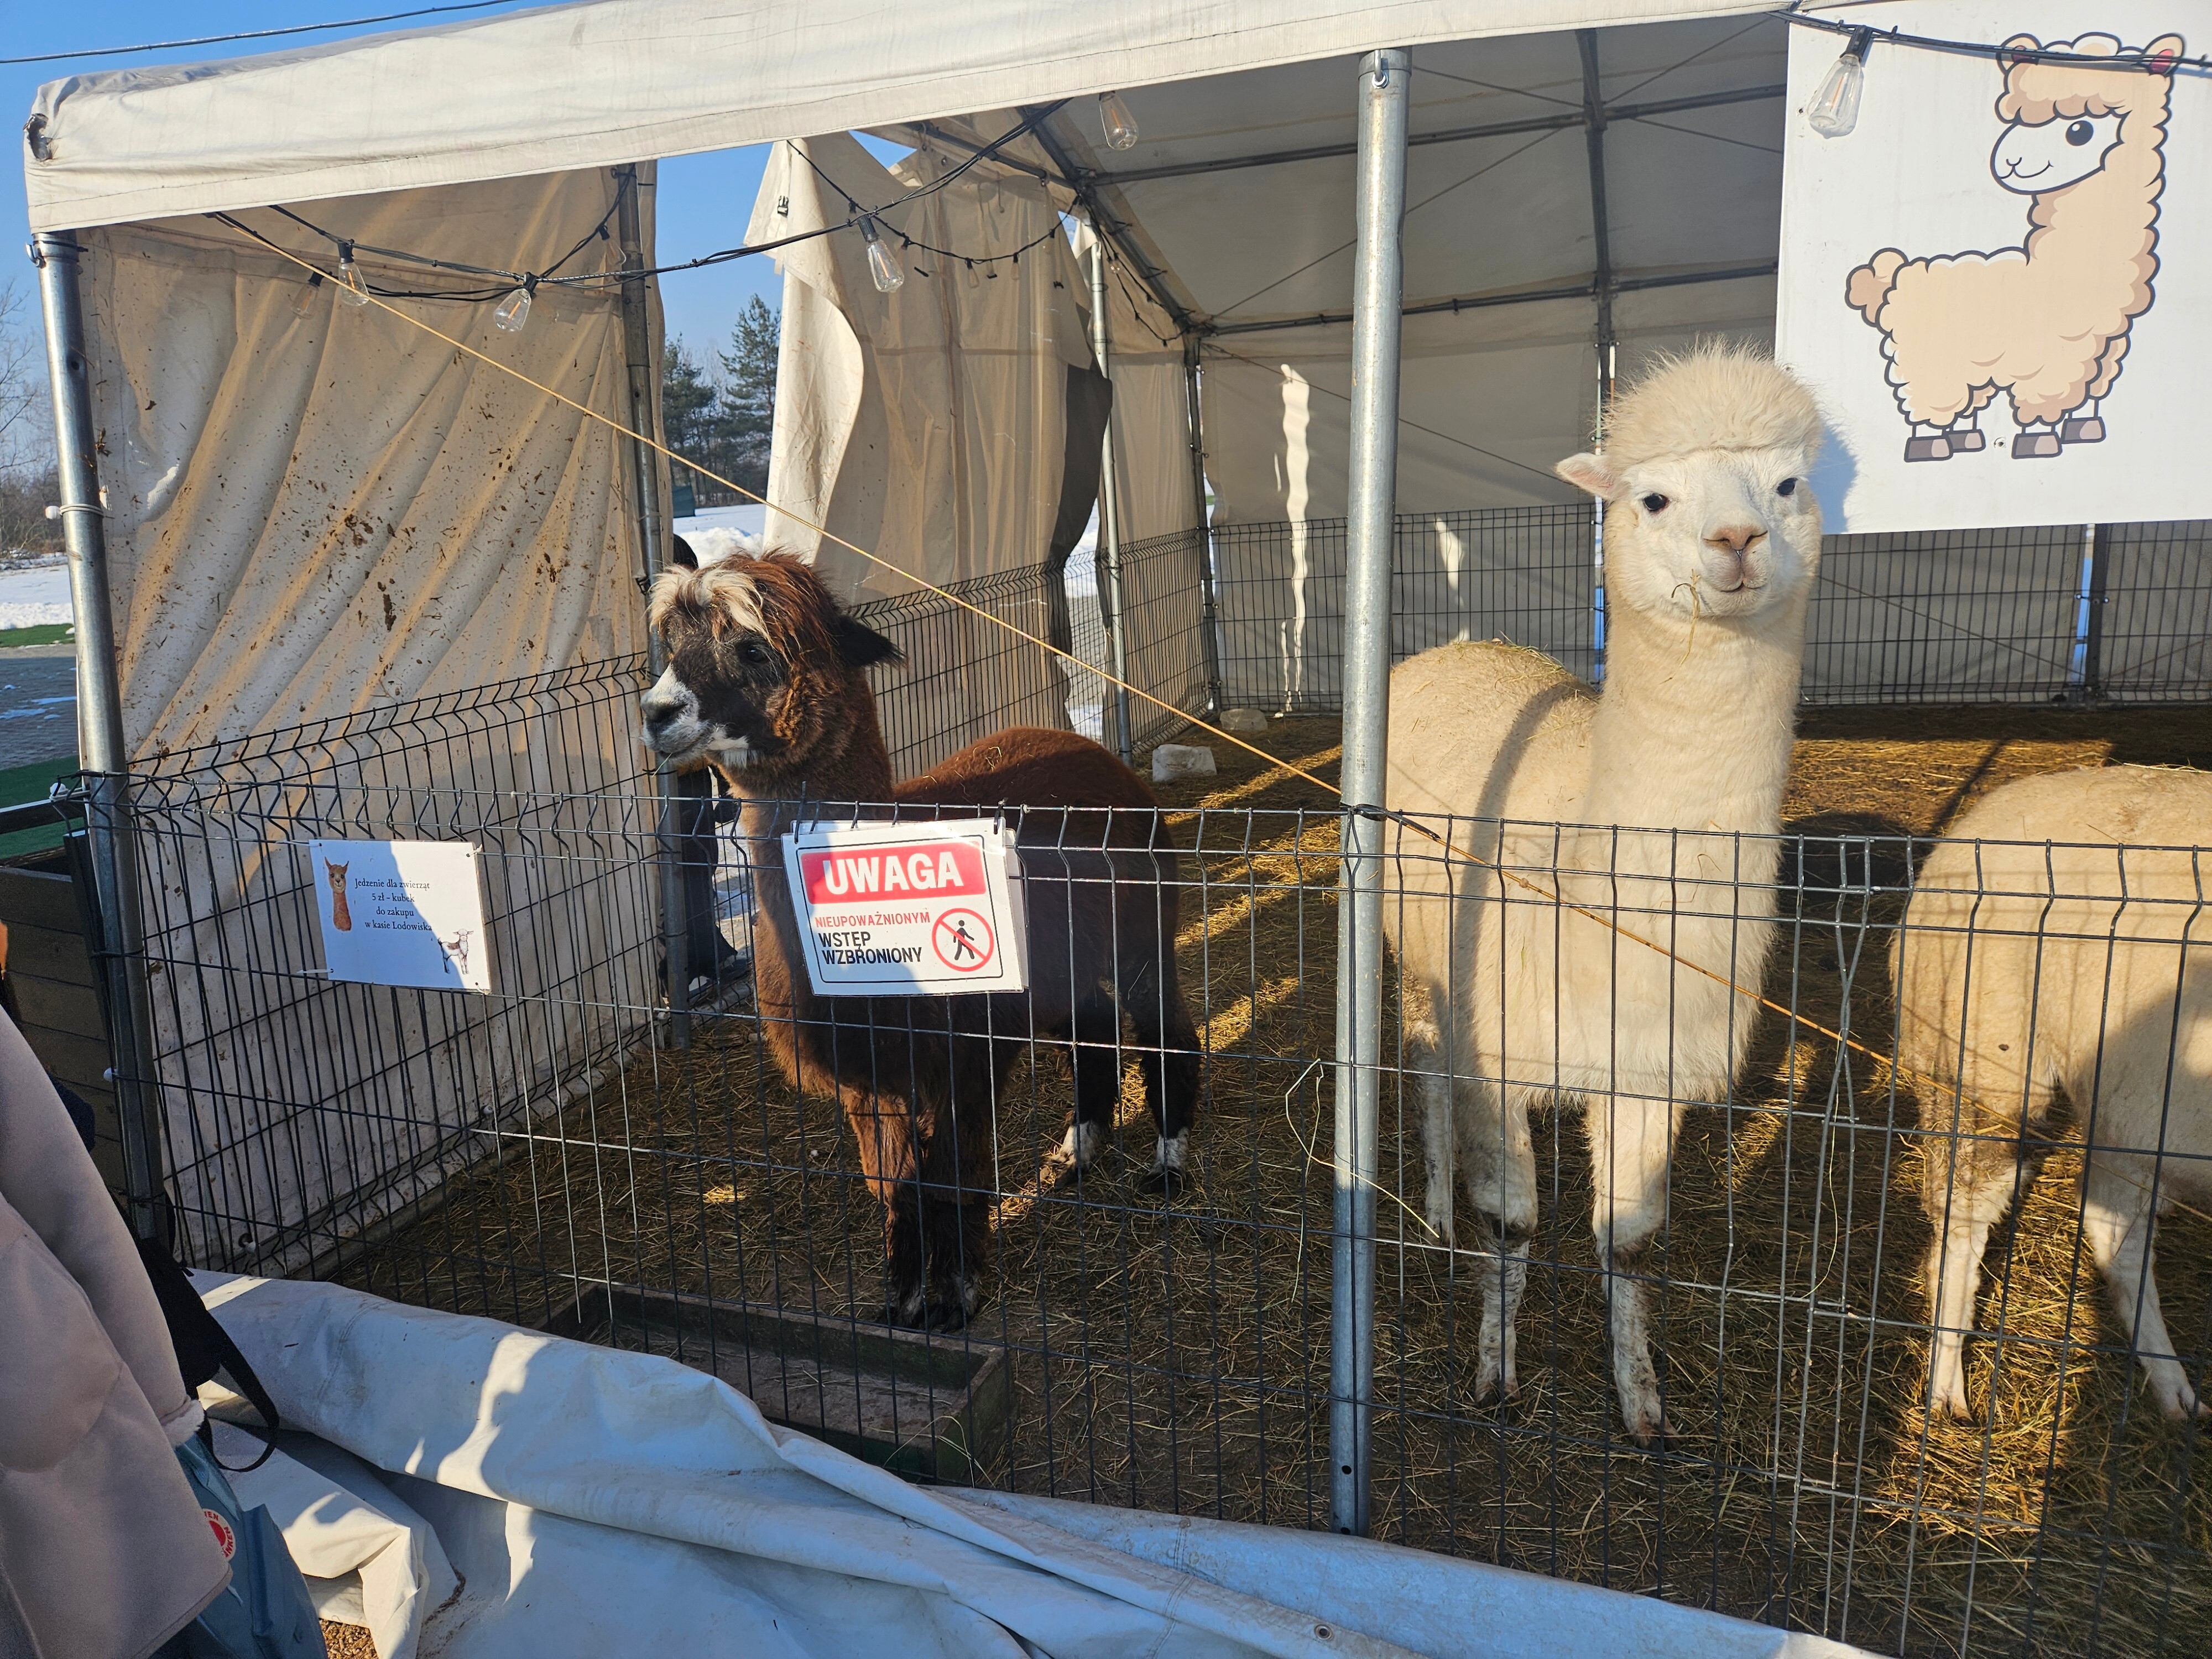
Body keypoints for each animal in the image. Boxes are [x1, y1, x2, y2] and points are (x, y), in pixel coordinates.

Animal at [639, 553, 1201, 1330]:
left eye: (752, 648)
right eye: (669, 643)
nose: (657, 712)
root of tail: (1088, 749)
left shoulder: (965, 1055)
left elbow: (953, 1179)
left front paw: (957, 1298)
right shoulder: (871, 1076)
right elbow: (893, 1186)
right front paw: (901, 1302)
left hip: (1144, 922)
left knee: (1164, 1031)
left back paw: (1168, 1165)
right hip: (1060, 963)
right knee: (1091, 1033)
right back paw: (1077, 1153)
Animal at [1382, 346, 1826, 1441]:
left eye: (1788, 485)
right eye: (1653, 497)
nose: (1737, 540)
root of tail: (1462, 644)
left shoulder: (1649, 1069)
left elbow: (1628, 1241)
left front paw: (1642, 1400)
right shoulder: (1501, 1045)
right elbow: (1512, 1226)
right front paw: (1494, 1373)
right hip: (1415, 944)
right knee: (1423, 1061)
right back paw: (1434, 1210)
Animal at [1844, 33, 2186, 462]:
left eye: (2080, 130)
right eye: (2021, 118)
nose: (2011, 160)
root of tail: (1898, 273)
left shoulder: (2105, 346)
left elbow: (2091, 394)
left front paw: (2084, 430)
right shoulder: (2051, 355)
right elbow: (2044, 402)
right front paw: (2039, 441)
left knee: (1967, 406)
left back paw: (1967, 439)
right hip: (1930, 362)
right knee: (1929, 405)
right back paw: (1930, 447)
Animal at [1894, 765, 2212, 1422]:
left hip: (2127, 1097)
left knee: (2112, 1229)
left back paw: (2172, 1389)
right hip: (1984, 1059)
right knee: (1962, 1225)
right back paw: (1947, 1388)